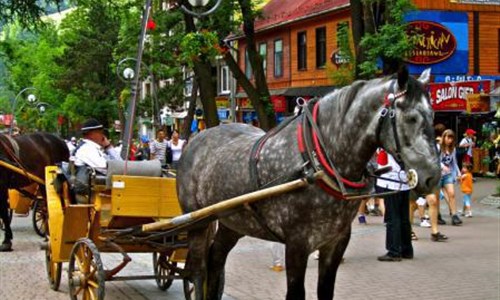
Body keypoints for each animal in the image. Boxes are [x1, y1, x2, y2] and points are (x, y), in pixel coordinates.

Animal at [177, 67, 442, 298]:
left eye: (432, 116)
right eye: (411, 118)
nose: (433, 176)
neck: (318, 161)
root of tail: (195, 140)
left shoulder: (335, 242)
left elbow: (325, 291)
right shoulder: (297, 244)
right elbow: (296, 294)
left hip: (232, 223)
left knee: (215, 260)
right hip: (198, 222)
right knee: (197, 271)